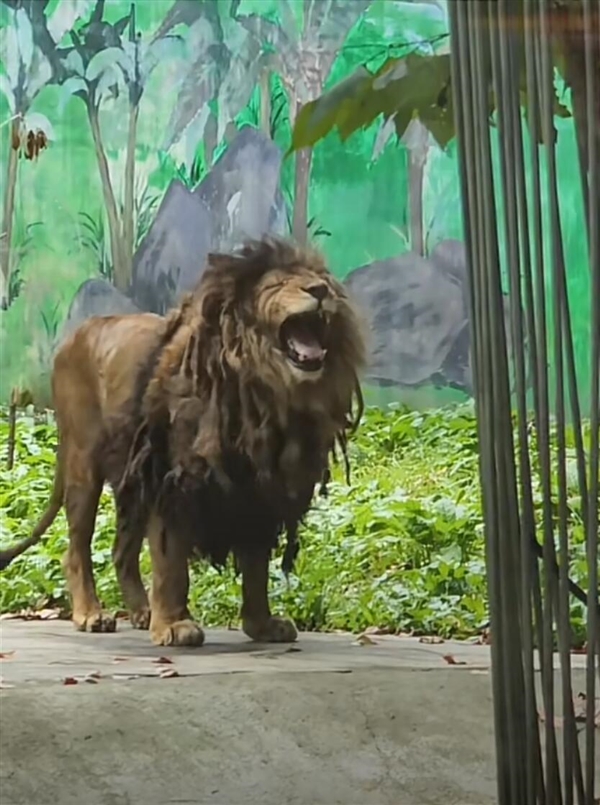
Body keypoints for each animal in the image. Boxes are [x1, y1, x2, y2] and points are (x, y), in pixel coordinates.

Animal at [1, 237, 366, 647]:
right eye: (279, 283)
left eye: (323, 281)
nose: (319, 291)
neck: (264, 391)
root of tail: (70, 339)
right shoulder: (173, 480)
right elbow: (171, 564)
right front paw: (175, 625)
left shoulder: (258, 491)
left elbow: (256, 569)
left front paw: (262, 626)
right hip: (84, 465)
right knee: (77, 548)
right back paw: (91, 614)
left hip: (131, 480)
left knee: (121, 551)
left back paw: (142, 612)